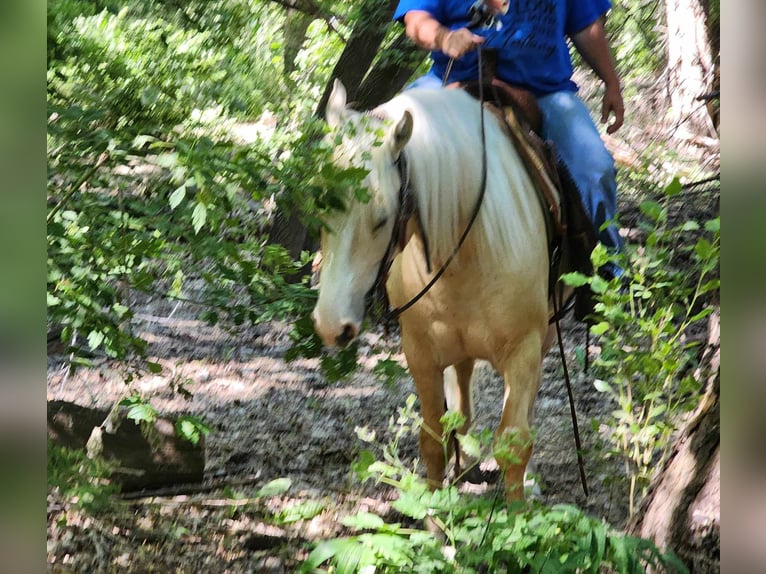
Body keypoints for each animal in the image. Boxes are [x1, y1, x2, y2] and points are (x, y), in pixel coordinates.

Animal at [310, 79, 564, 502]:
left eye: (382, 218)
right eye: (319, 205)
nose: (332, 325)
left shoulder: (524, 350)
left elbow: (514, 443)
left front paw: (518, 514)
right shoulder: (420, 353)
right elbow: (432, 438)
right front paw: (432, 513)